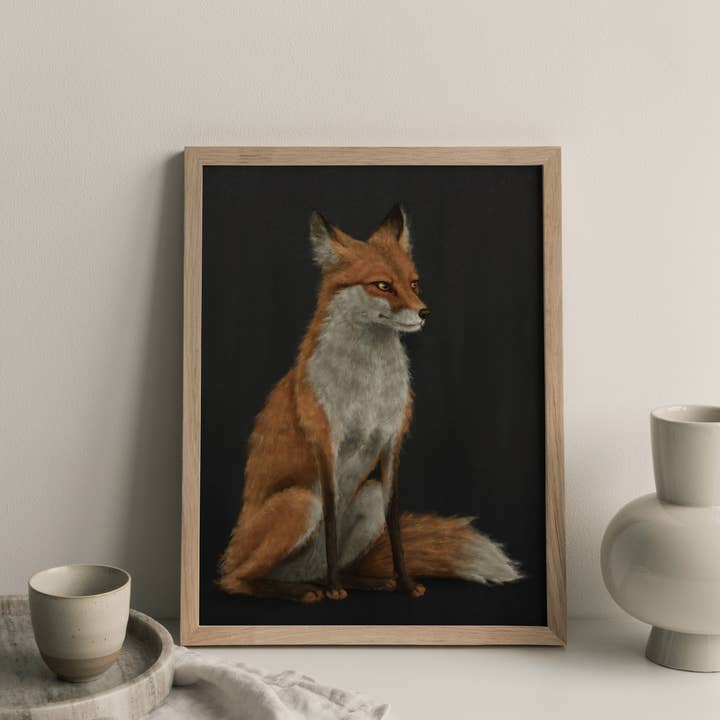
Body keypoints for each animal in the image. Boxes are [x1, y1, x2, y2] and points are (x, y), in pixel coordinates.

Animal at [218, 205, 521, 602]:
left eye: (414, 283)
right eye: (382, 285)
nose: (424, 312)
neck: (369, 387)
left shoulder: (392, 443)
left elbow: (395, 527)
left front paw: (405, 584)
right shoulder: (326, 444)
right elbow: (331, 520)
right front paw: (335, 591)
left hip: (369, 496)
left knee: (334, 566)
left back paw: (362, 582)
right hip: (300, 503)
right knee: (235, 580)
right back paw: (305, 590)